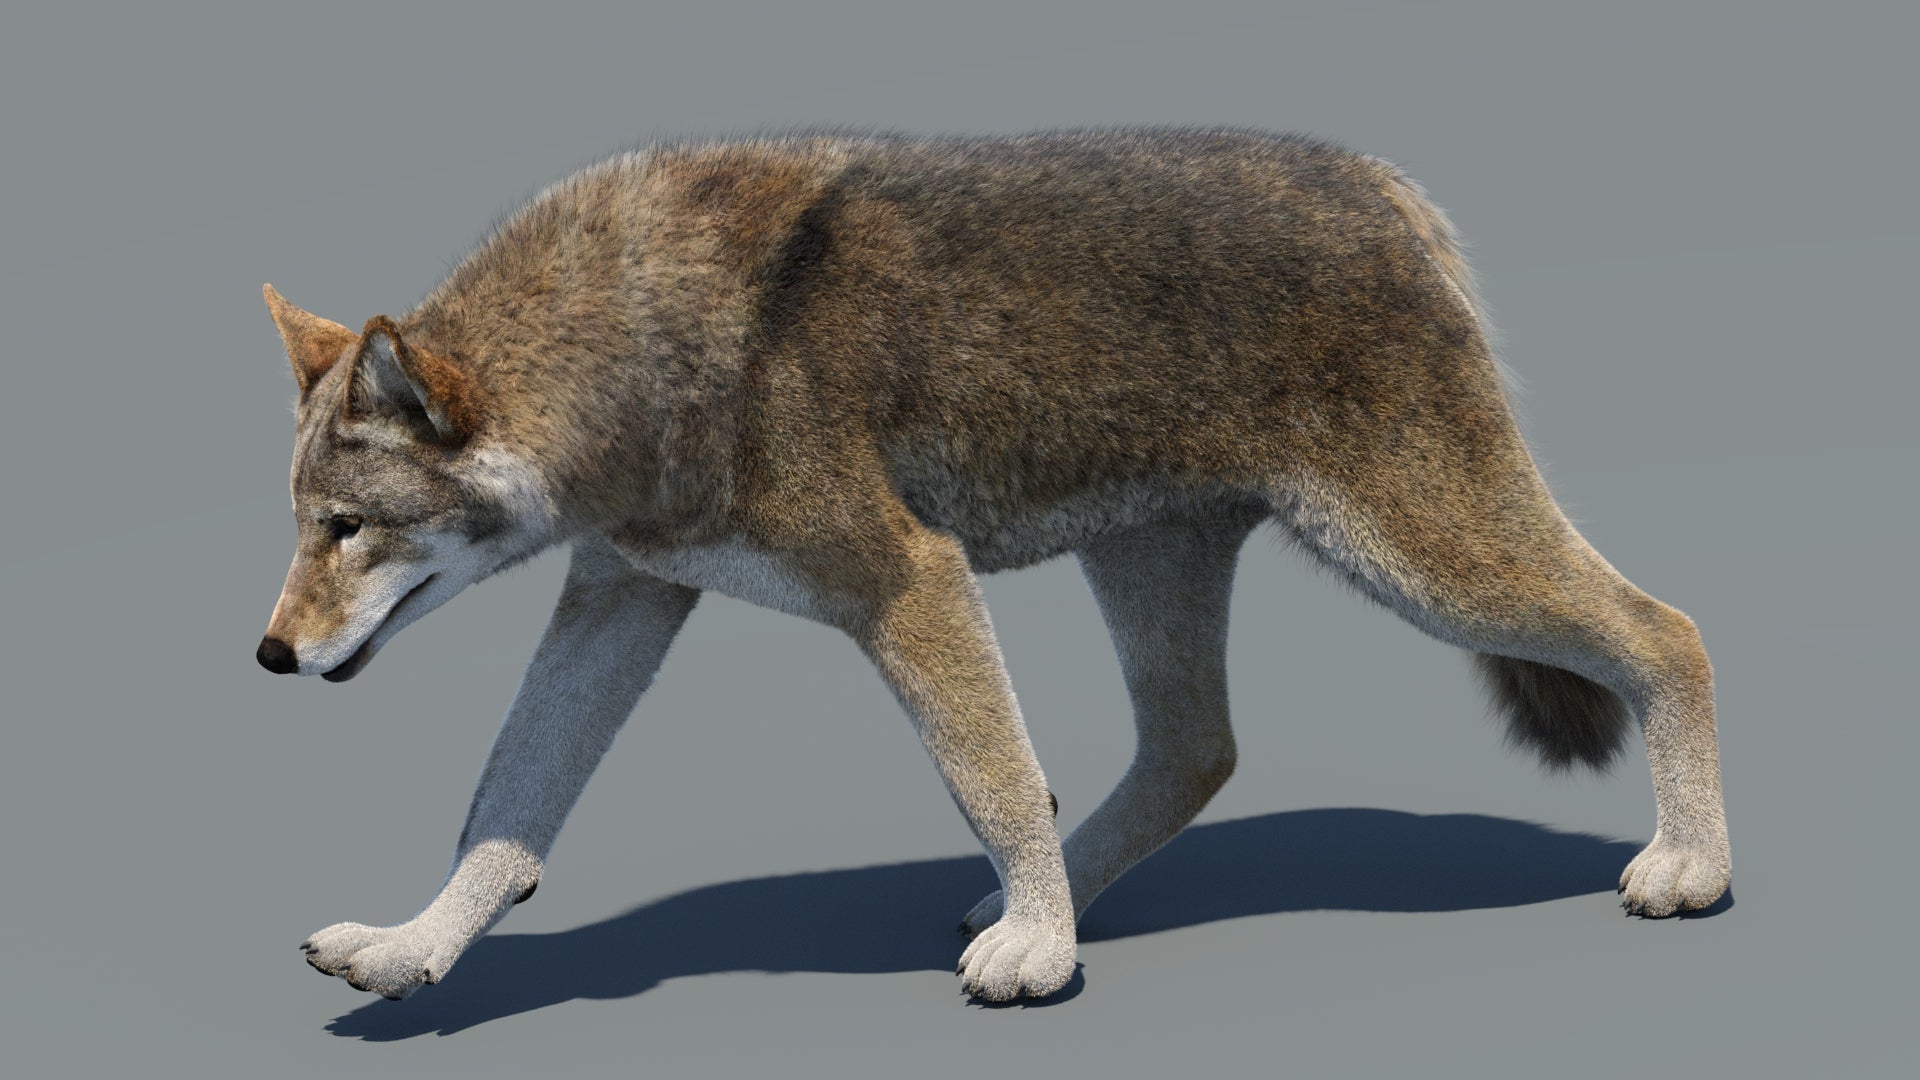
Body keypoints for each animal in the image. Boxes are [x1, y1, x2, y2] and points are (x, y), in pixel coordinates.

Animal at [258, 128, 1730, 1003]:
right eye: (300, 522)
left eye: (345, 528)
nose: (269, 653)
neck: (639, 349)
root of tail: (1381, 179)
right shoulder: (624, 594)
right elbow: (506, 808)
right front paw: (412, 950)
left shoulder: (909, 579)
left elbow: (995, 777)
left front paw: (1037, 949)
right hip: (1159, 567)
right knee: (1199, 751)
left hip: (1427, 562)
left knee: (1672, 631)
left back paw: (1691, 871)